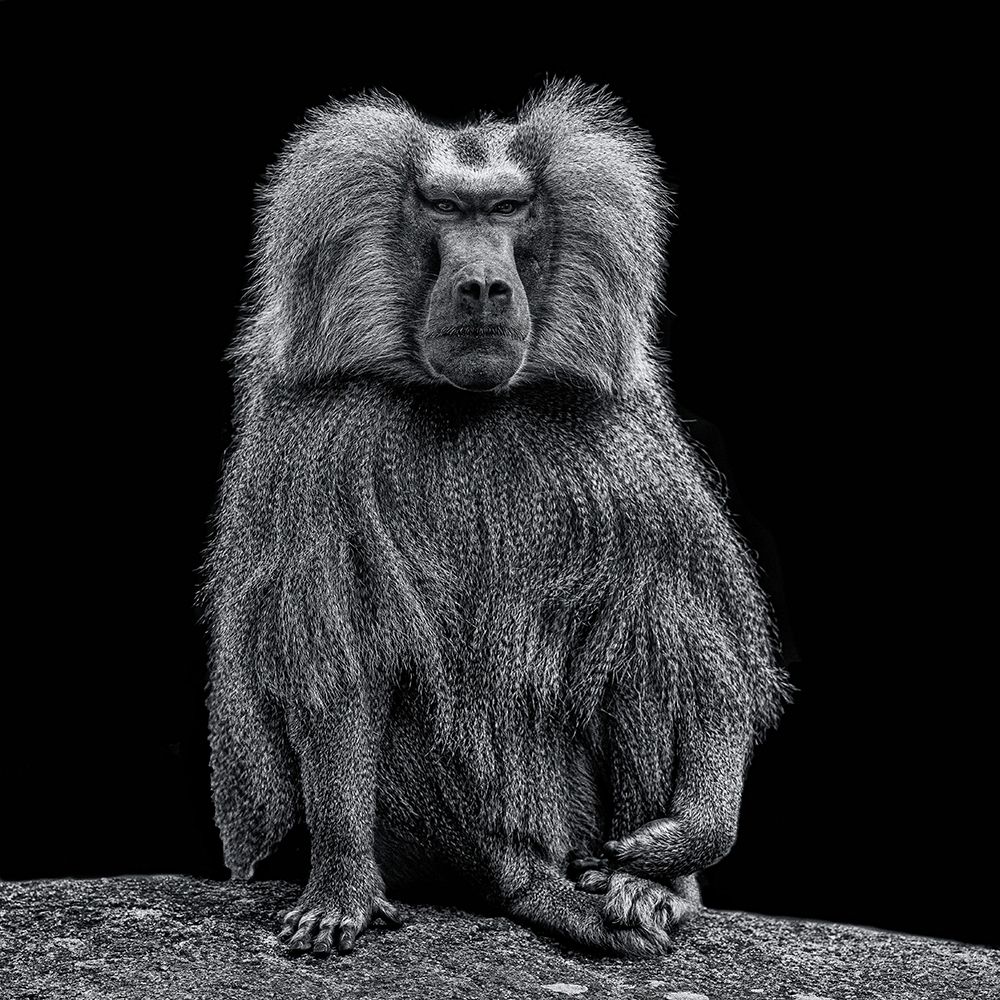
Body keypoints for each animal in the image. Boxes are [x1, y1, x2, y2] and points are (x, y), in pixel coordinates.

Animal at [203, 79, 790, 959]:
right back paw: (531, 887)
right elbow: (340, 653)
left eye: (508, 208)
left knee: (639, 642)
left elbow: (688, 633)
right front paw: (339, 885)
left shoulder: (623, 438)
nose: (483, 287)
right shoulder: (320, 438)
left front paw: (690, 837)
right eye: (445, 207)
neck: (468, 403)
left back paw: (645, 890)